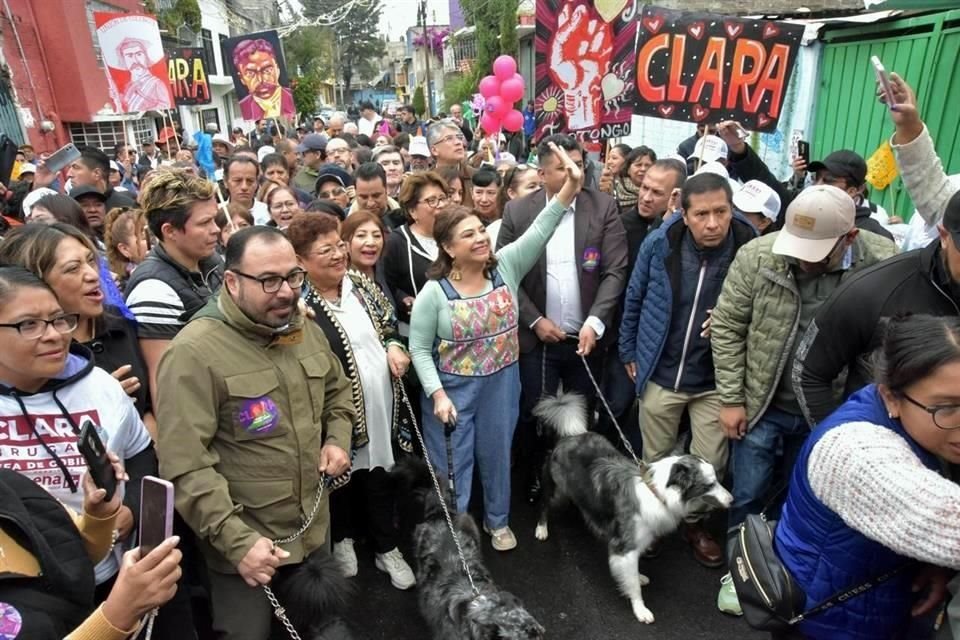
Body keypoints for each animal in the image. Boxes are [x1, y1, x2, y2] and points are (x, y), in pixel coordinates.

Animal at [536, 390, 732, 624]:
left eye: (716, 480)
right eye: (709, 485)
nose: (732, 500)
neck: (657, 492)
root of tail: (572, 435)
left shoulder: (637, 541)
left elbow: (633, 573)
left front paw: (638, 578)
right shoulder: (624, 545)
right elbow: (633, 586)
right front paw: (641, 610)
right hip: (557, 492)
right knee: (544, 504)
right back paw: (541, 529)